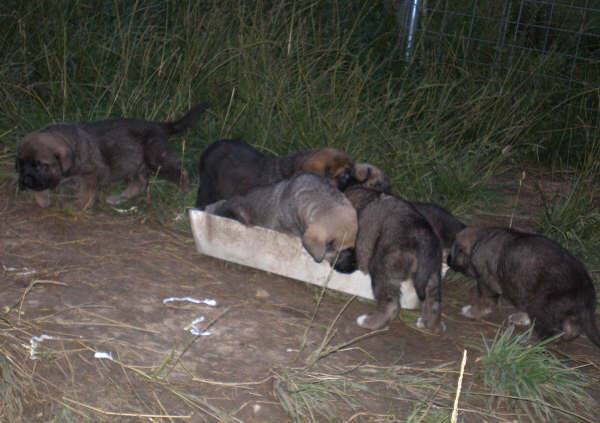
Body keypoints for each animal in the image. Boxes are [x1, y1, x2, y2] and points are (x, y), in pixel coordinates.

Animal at [15, 102, 211, 210]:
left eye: (40, 165)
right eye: (21, 164)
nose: (25, 182)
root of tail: (157, 125)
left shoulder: (92, 173)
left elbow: (88, 192)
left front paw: (79, 206)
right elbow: (42, 188)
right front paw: (42, 199)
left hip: (156, 159)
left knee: (181, 172)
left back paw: (185, 193)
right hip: (132, 164)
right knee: (140, 183)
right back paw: (119, 198)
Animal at [448, 227, 600, 346]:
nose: (448, 261)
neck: (479, 241)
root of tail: (586, 290)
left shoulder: (486, 283)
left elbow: (485, 301)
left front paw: (472, 312)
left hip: (540, 304)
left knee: (548, 332)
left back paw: (532, 344)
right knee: (572, 330)